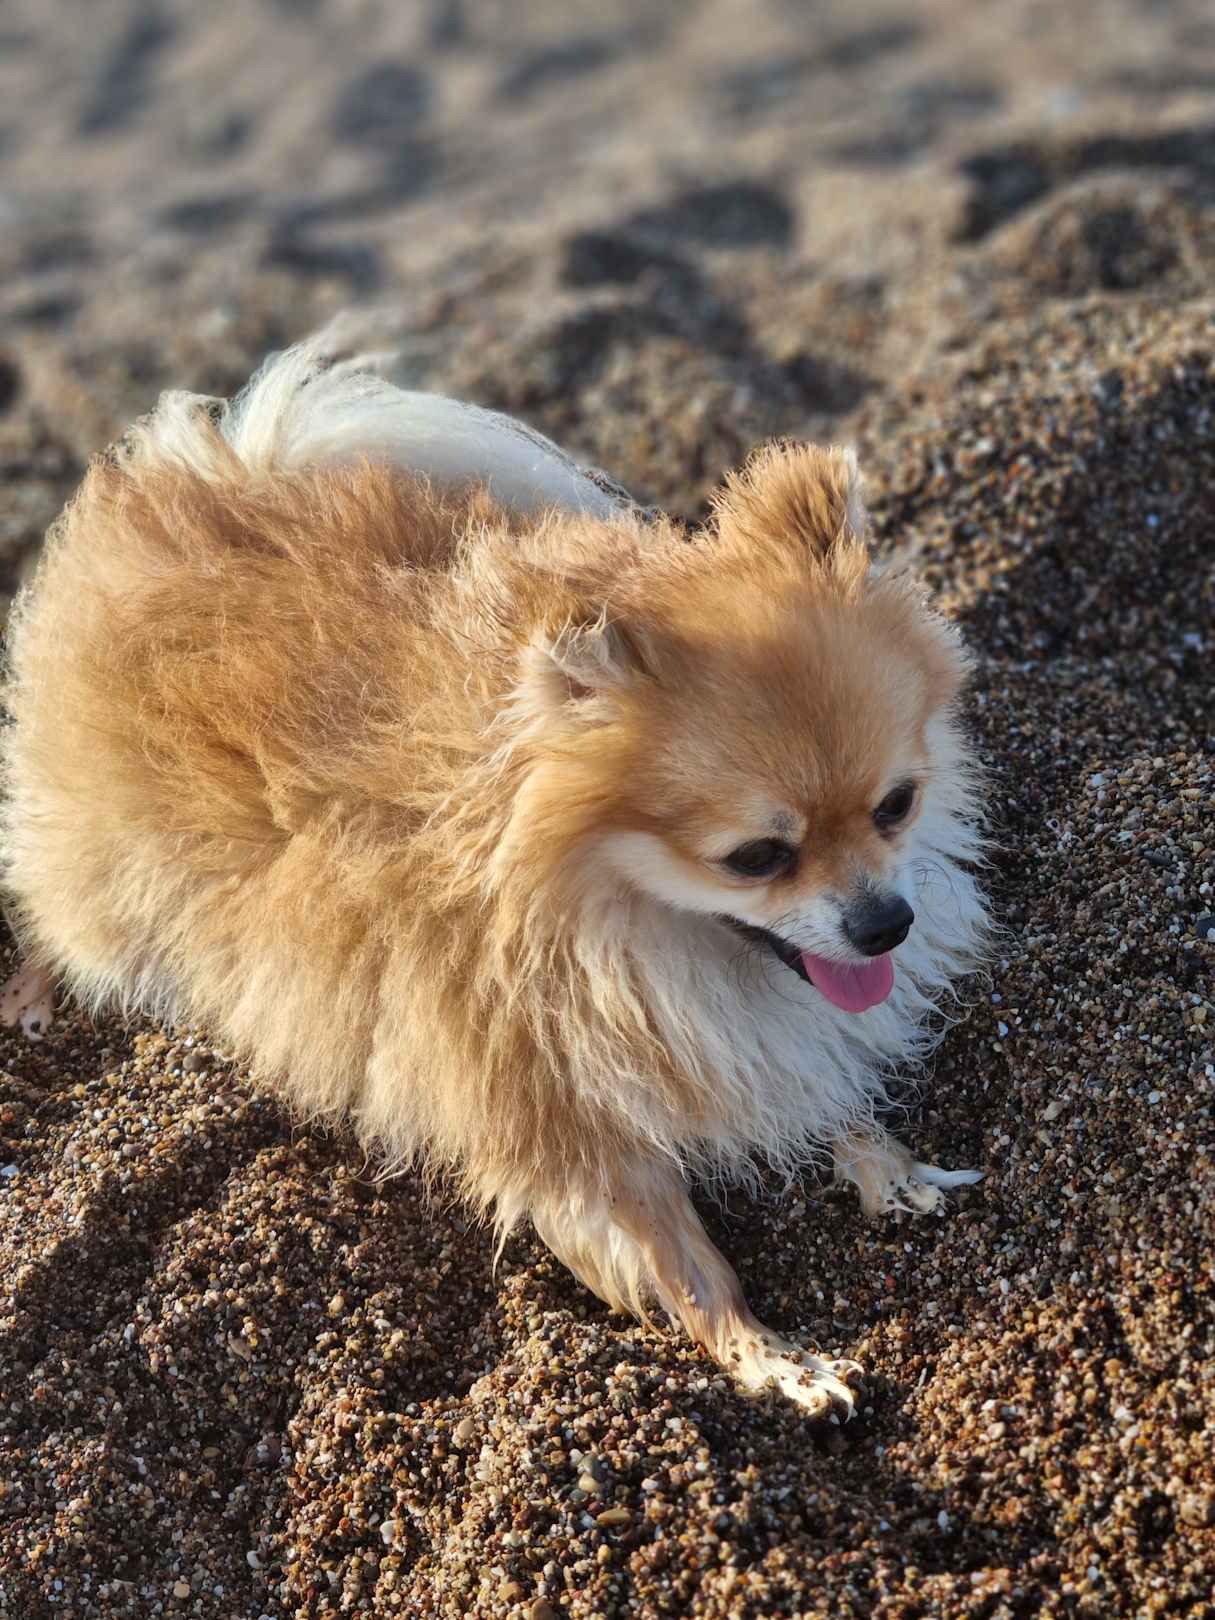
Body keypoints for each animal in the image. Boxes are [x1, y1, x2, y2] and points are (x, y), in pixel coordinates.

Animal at [0, 333, 987, 1417]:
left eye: (896, 805)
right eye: (756, 857)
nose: (885, 923)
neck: (622, 936)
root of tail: (189, 471)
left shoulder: (746, 1038)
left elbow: (814, 1082)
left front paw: (886, 1165)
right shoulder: (559, 1123)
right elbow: (687, 1264)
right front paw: (769, 1356)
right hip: (104, 886)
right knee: (51, 909)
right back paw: (34, 1001)